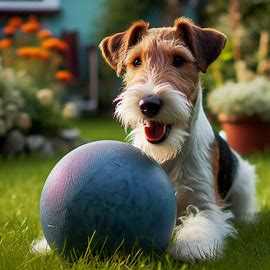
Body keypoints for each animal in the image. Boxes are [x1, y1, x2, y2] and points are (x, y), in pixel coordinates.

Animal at [99, 17, 258, 262]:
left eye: (178, 60)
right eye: (136, 61)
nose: (148, 105)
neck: (168, 153)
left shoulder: (206, 203)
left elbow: (200, 222)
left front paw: (190, 247)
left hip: (243, 184)